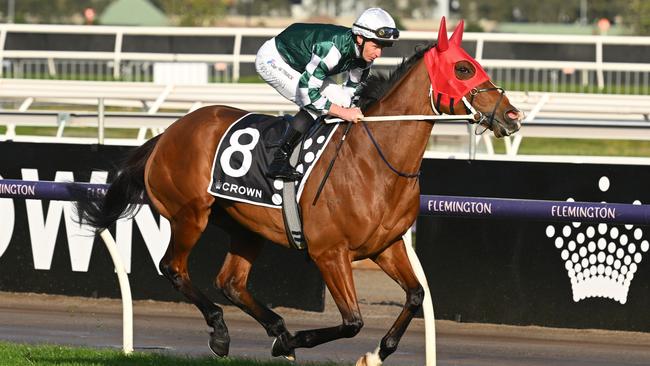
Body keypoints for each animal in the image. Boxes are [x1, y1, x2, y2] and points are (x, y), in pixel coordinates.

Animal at [77, 19, 520, 366]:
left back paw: (274, 326)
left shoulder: (387, 245)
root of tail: (167, 134)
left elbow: (415, 296)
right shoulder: (329, 252)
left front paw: (375, 352)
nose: (513, 115)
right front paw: (297, 340)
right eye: (463, 67)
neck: (373, 160)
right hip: (190, 214)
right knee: (174, 267)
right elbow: (353, 321)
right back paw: (223, 332)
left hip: (244, 227)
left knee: (231, 282)